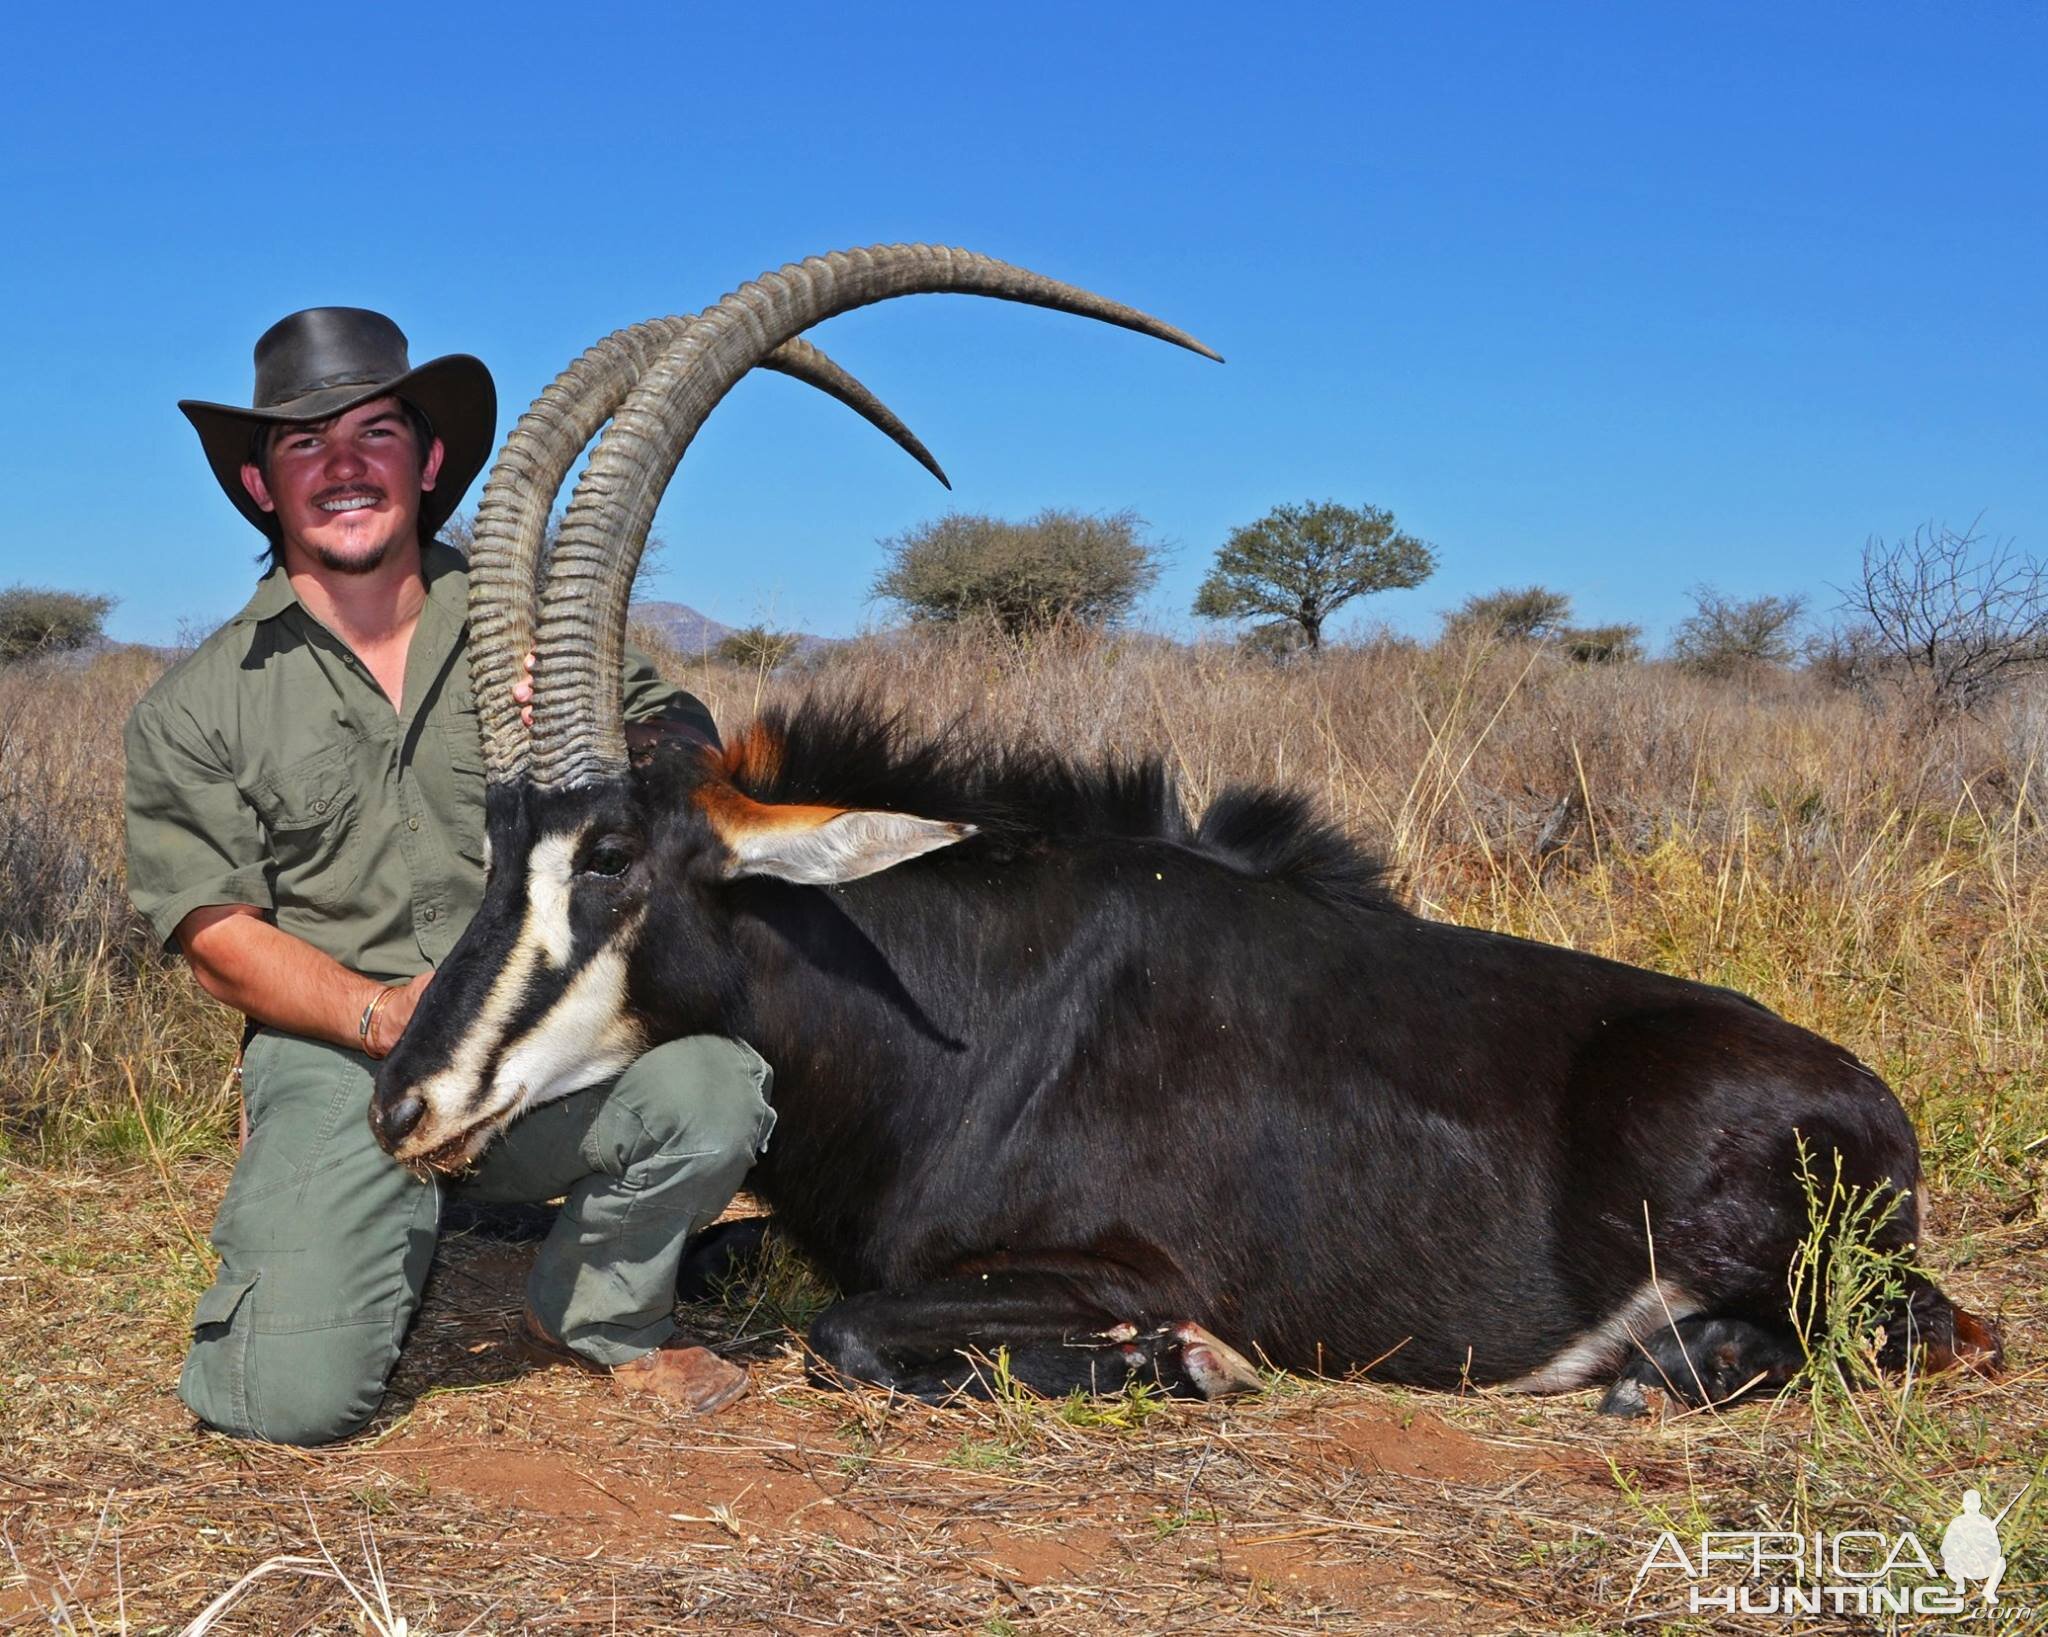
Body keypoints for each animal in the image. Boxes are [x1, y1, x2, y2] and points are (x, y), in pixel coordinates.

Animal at [372, 243, 1998, 1409]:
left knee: (1912, 1326)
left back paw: (1651, 1372)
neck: (954, 999)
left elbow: (855, 1330)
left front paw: (1184, 1358)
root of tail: (1876, 1107)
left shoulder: (1110, 1262)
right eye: (499, 842)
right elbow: (746, 1268)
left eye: (609, 858)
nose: (404, 1105)